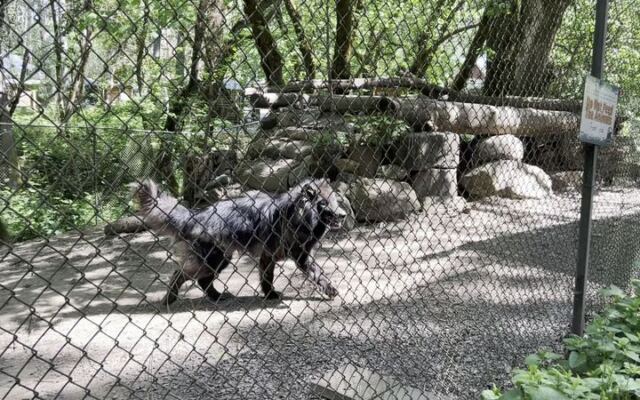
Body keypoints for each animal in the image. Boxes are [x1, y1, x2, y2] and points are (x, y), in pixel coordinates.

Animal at [131, 178, 347, 305]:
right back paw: (169, 299)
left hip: (221, 260)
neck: (298, 213)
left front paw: (270, 294)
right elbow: (319, 274)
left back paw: (217, 296)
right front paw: (330, 290)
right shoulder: (301, 256)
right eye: (324, 203)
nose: (344, 215)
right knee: (180, 274)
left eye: (335, 200)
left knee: (202, 281)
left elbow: (266, 278)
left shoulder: (268, 257)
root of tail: (194, 215)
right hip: (213, 260)